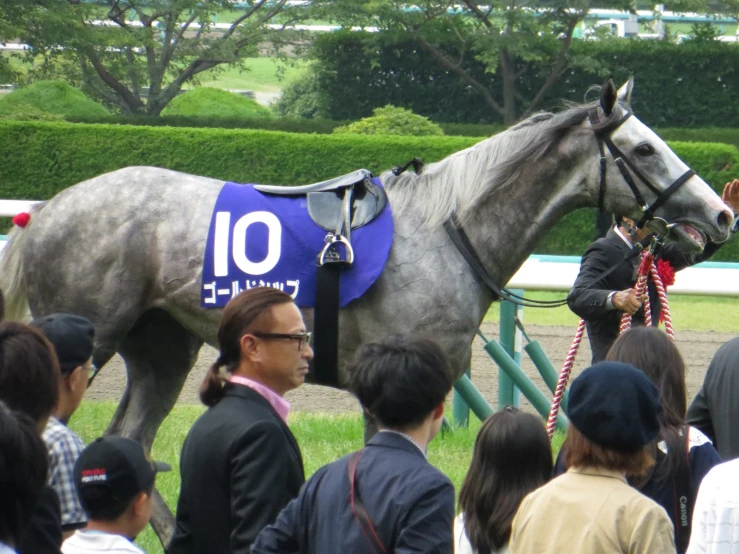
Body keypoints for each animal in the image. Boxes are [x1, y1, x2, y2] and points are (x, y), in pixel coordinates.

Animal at [1, 80, 736, 540]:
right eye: (643, 148)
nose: (721, 213)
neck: (448, 229)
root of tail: (50, 208)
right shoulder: (400, 378)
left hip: (162, 346)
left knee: (133, 438)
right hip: (86, 337)